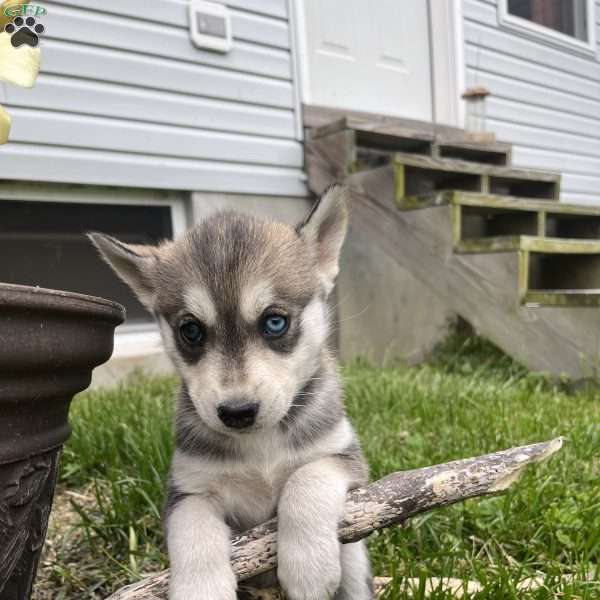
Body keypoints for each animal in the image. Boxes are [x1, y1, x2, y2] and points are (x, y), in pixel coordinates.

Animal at [88, 185, 370, 596]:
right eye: (191, 330)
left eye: (275, 322)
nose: (237, 413)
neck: (260, 447)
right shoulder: (188, 489)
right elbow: (193, 529)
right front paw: (200, 590)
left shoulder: (344, 456)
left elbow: (306, 478)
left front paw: (309, 567)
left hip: (354, 557)